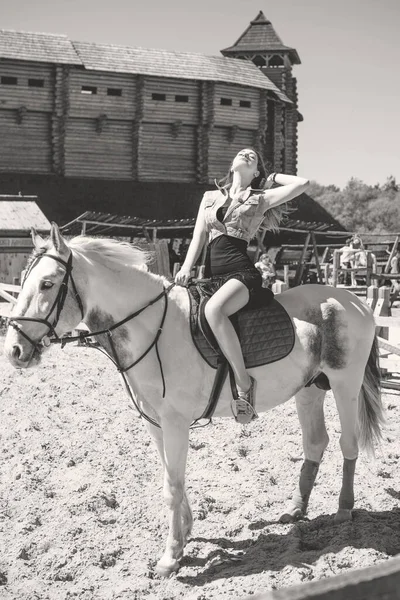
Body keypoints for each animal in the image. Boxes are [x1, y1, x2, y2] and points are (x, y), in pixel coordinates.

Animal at [3, 224, 384, 576]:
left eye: (47, 284)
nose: (14, 351)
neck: (151, 329)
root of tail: (353, 301)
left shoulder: (175, 423)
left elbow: (172, 484)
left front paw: (170, 557)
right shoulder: (155, 423)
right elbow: (172, 478)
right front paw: (184, 534)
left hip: (345, 385)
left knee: (348, 444)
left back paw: (344, 510)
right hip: (309, 390)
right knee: (315, 442)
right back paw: (295, 509)